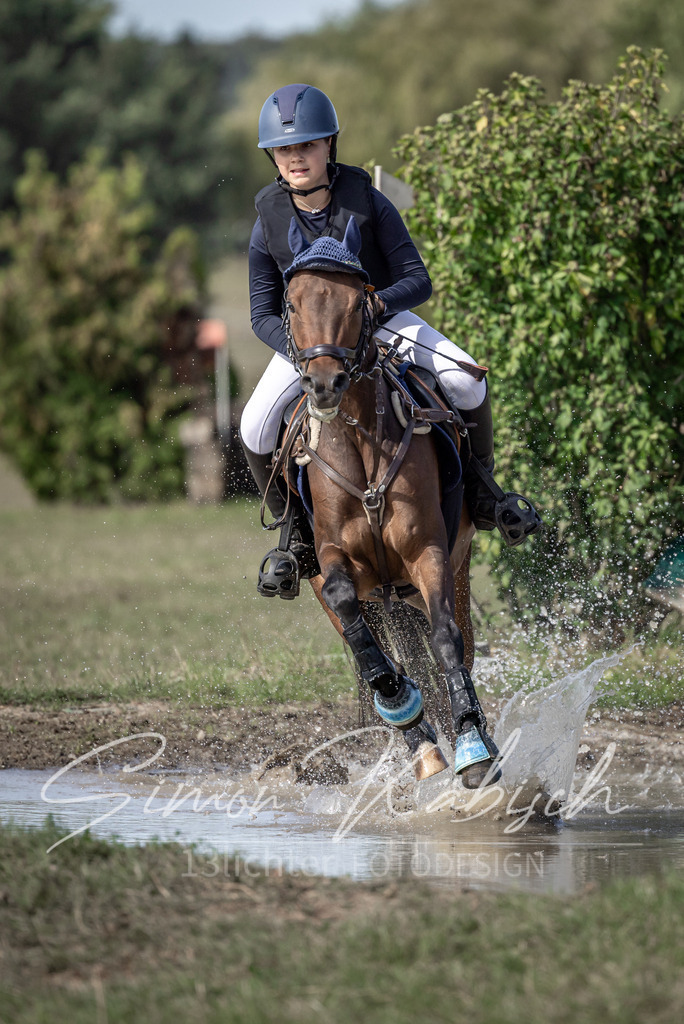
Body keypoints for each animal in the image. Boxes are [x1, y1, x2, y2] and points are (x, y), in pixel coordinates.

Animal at [270, 217, 500, 788]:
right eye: (292, 305)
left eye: (359, 302)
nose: (324, 383)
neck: (357, 438)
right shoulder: (334, 562)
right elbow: (360, 630)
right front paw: (405, 712)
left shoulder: (429, 552)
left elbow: (446, 639)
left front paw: (473, 749)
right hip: (353, 590)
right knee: (373, 646)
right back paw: (419, 739)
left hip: (447, 571)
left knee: (453, 644)